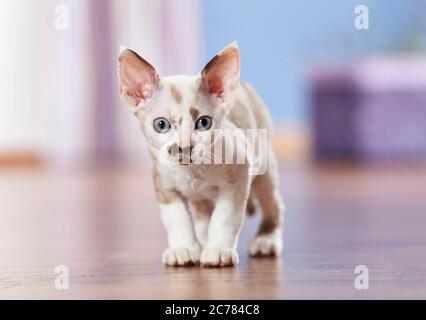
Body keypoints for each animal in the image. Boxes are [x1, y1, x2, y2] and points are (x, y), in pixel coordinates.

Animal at [116, 42, 284, 268]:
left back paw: (266, 239)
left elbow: (225, 217)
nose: (184, 147)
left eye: (203, 123)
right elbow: (178, 219)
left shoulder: (238, 176)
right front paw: (183, 249)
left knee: (274, 204)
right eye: (161, 125)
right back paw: (202, 242)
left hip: (264, 167)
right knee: (204, 211)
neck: (192, 172)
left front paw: (218, 250)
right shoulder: (163, 184)